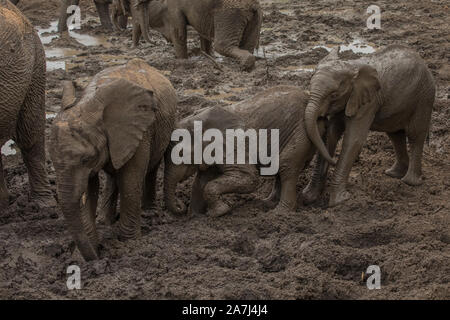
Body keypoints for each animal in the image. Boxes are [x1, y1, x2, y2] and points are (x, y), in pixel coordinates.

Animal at [48, 58, 178, 262]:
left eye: (86, 159)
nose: (97, 257)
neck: (87, 104)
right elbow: (90, 189)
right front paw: (83, 255)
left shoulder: (139, 132)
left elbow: (130, 179)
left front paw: (129, 244)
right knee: (112, 175)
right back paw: (105, 220)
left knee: (152, 167)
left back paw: (148, 211)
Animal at [127, 0, 264, 70]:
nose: (156, 42)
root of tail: (254, 5)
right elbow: (202, 32)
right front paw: (207, 56)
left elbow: (179, 33)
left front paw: (182, 61)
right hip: (252, 18)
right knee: (247, 45)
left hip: (230, 13)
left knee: (222, 46)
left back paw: (243, 65)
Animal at [163, 85, 326, 218]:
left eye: (181, 154)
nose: (180, 206)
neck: (197, 120)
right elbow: (200, 183)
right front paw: (195, 218)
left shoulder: (231, 146)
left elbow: (248, 178)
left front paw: (219, 213)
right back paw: (267, 204)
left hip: (300, 132)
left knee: (286, 166)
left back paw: (279, 213)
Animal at [302, 43, 436, 206]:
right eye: (309, 84)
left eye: (334, 94)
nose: (332, 162)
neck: (350, 67)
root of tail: (423, 62)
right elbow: (330, 136)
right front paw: (309, 196)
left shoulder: (368, 102)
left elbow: (353, 140)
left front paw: (340, 201)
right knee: (395, 134)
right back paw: (394, 174)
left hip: (424, 96)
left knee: (415, 134)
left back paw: (410, 182)